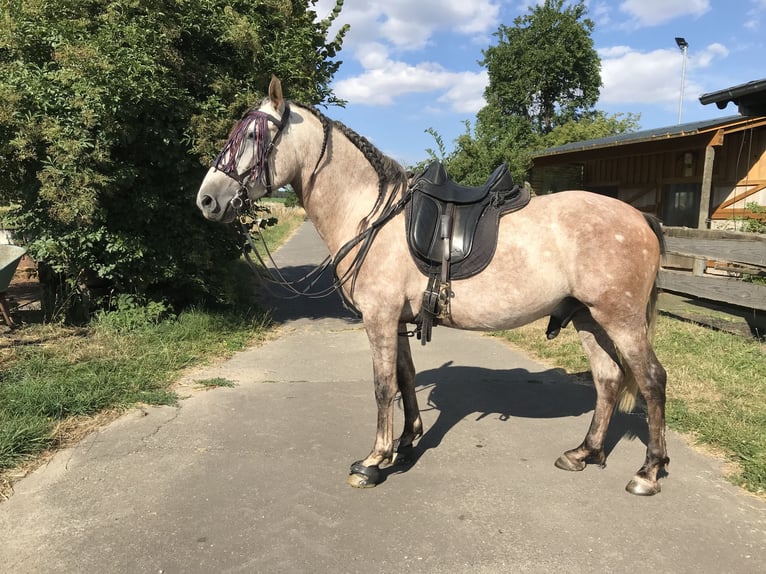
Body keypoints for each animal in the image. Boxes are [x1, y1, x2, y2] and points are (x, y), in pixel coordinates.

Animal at [197, 76, 670, 496]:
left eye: (252, 137)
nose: (207, 200)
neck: (369, 213)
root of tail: (640, 217)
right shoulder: (398, 320)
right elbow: (405, 379)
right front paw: (406, 444)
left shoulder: (379, 317)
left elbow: (383, 385)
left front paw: (373, 461)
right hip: (589, 318)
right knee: (608, 379)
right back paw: (584, 452)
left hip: (621, 319)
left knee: (651, 380)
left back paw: (647, 473)